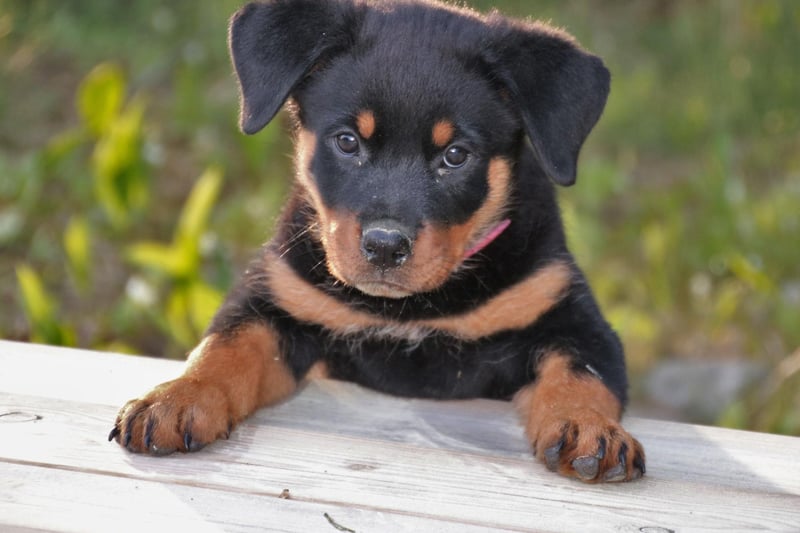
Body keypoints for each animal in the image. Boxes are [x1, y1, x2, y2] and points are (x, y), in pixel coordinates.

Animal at [109, 0, 644, 482]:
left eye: (455, 155)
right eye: (348, 141)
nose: (386, 246)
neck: (410, 311)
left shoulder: (572, 318)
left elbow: (581, 375)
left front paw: (589, 429)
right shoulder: (277, 301)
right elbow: (226, 345)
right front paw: (177, 398)